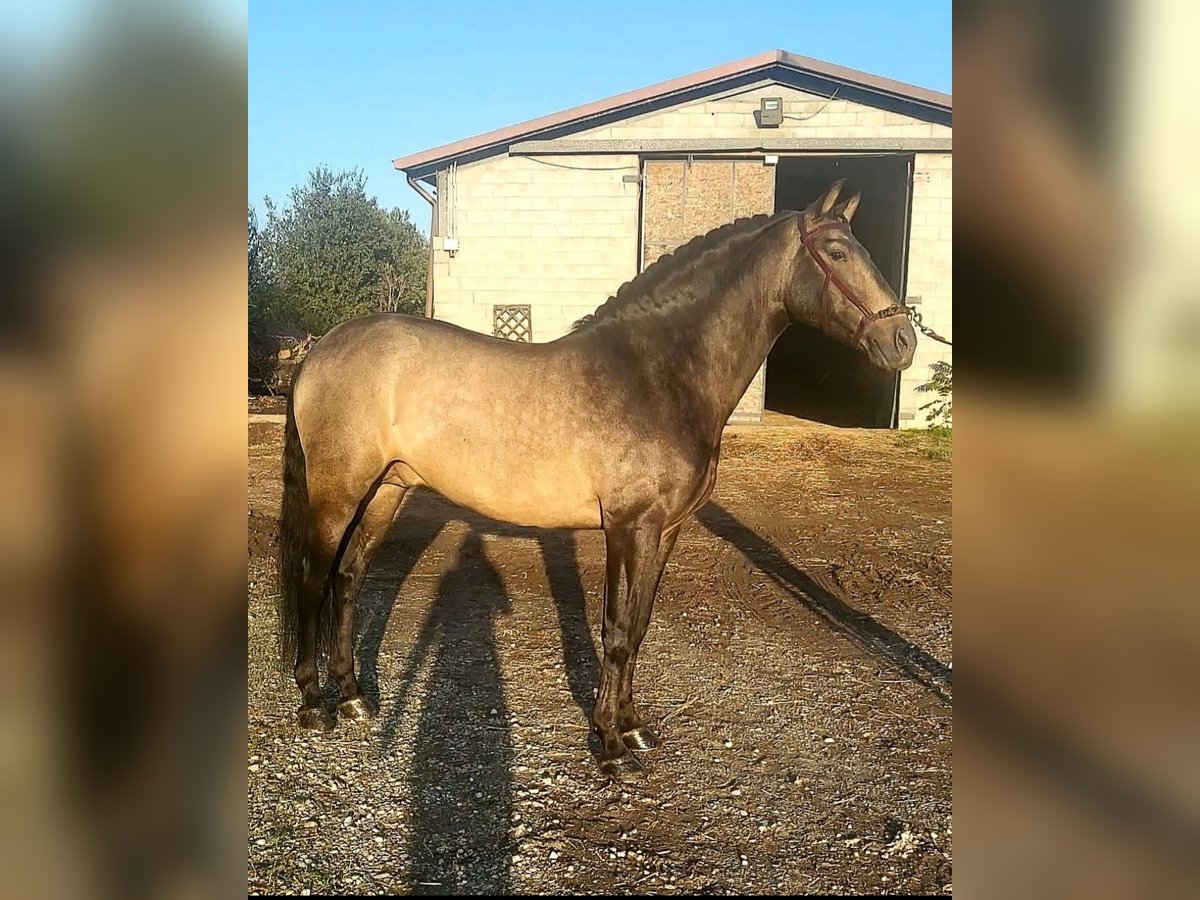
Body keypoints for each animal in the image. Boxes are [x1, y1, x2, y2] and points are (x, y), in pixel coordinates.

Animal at [278, 180, 916, 777]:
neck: (659, 373)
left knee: (349, 578)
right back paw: (313, 703)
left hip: (388, 489)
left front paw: (633, 727)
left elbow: (638, 626)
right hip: (338, 494)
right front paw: (609, 745)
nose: (902, 341)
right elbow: (614, 629)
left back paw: (354, 698)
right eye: (837, 252)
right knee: (313, 579)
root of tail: (321, 349)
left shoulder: (666, 530)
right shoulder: (628, 526)